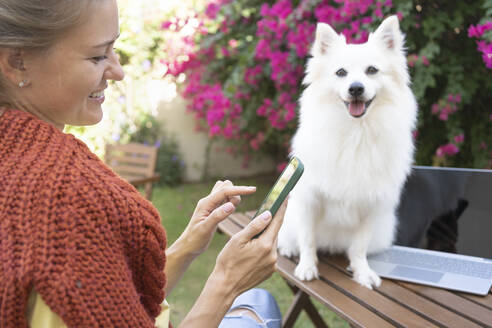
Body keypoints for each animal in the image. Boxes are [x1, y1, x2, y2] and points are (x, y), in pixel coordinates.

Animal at [278, 15, 418, 288]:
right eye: (341, 73)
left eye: (372, 70)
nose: (355, 88)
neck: (357, 132)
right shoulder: (309, 200)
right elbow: (307, 239)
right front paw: (307, 267)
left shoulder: (371, 205)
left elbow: (359, 247)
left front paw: (362, 273)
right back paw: (289, 249)